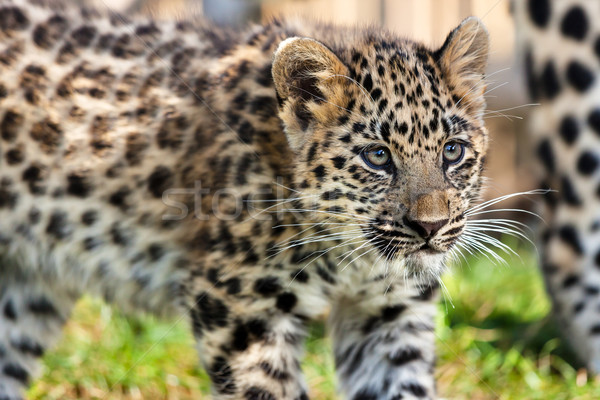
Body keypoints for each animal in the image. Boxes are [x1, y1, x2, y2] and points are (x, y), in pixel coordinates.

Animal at [0, 1, 490, 398]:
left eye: (452, 151)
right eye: (378, 156)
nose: (430, 227)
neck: (350, 260)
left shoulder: (390, 315)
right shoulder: (239, 308)